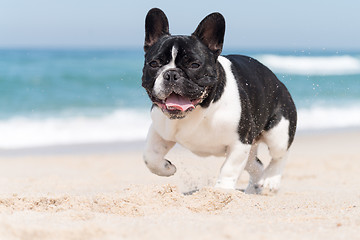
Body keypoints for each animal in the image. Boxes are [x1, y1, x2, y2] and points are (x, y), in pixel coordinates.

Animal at [142, 8, 296, 194]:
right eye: (154, 63)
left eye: (194, 65)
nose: (171, 74)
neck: (200, 109)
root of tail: (279, 82)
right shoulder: (160, 130)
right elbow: (150, 155)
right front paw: (166, 168)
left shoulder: (240, 142)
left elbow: (229, 168)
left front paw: (221, 191)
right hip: (252, 147)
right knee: (256, 165)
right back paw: (253, 190)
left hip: (278, 132)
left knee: (280, 155)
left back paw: (271, 181)